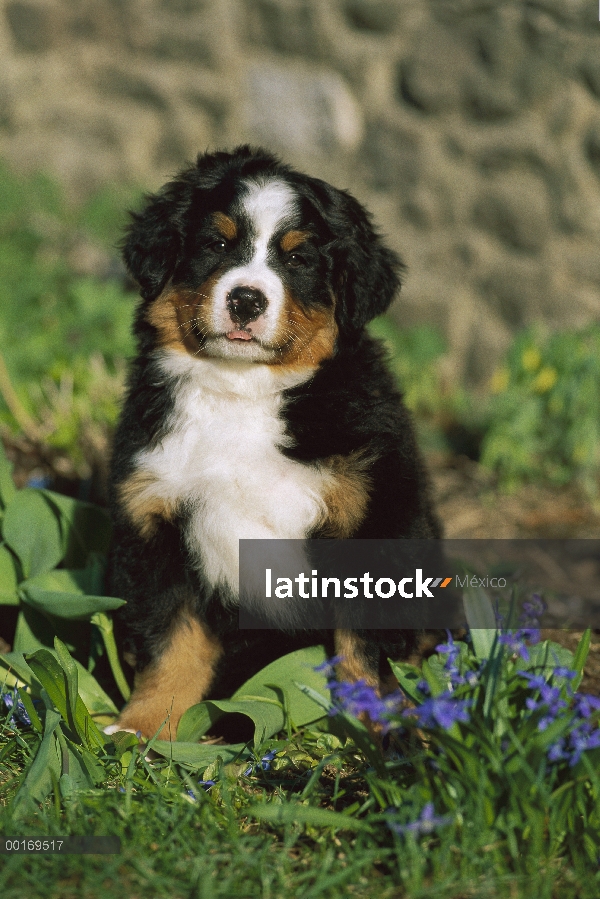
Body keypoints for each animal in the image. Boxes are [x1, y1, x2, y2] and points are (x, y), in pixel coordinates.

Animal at [105, 146, 438, 740]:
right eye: (216, 244)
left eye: (299, 259)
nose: (245, 300)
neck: (243, 393)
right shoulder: (154, 522)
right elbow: (172, 644)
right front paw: (143, 727)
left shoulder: (373, 524)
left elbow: (361, 649)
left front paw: (370, 726)